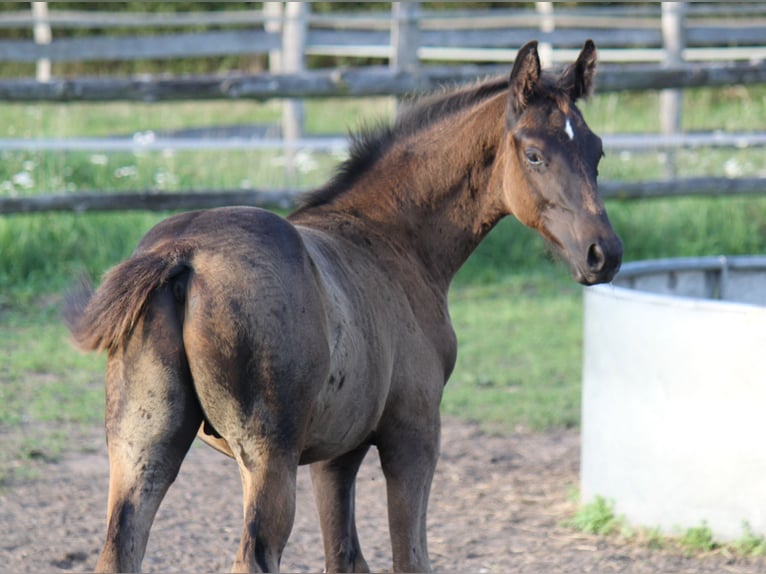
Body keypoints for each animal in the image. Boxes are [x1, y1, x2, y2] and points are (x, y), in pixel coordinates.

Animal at [63, 39, 620, 572]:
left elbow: (345, 556)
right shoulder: (412, 434)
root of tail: (183, 253)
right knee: (253, 556)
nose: (604, 253)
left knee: (119, 548)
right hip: (268, 456)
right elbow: (409, 559)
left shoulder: (336, 453)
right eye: (534, 154)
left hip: (141, 446)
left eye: (596, 151)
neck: (392, 240)